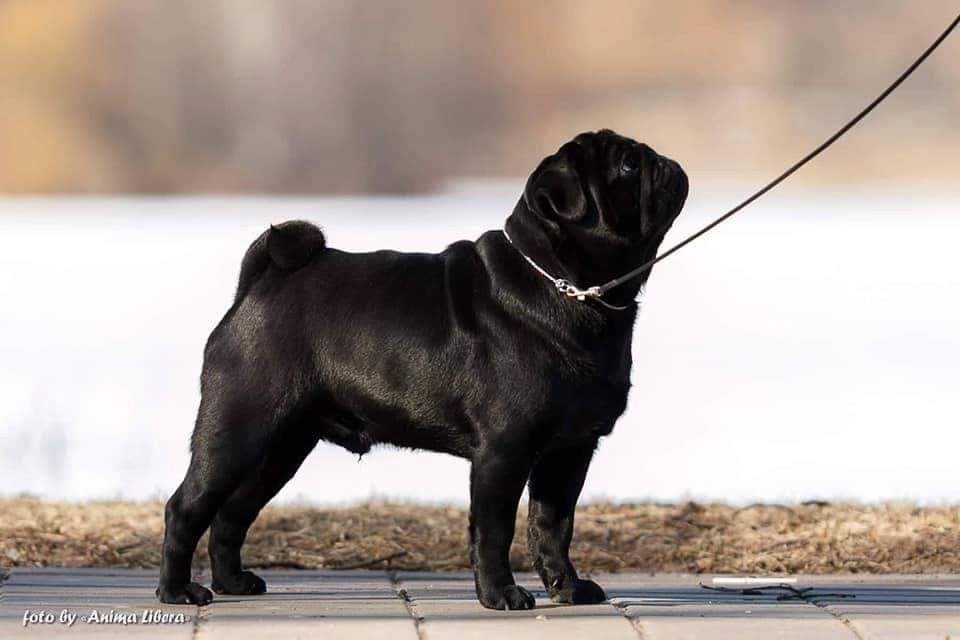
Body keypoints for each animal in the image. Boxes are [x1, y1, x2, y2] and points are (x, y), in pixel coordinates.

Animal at [156, 129, 688, 610]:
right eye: (628, 166)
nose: (665, 162)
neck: (570, 289)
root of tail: (260, 283)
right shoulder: (504, 451)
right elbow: (495, 530)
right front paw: (500, 595)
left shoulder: (569, 451)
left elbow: (553, 526)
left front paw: (567, 588)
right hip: (239, 429)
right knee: (186, 508)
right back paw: (178, 591)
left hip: (282, 447)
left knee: (231, 514)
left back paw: (232, 582)